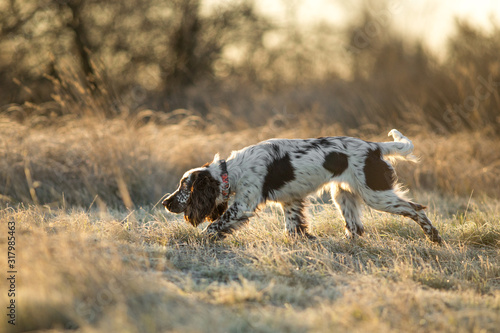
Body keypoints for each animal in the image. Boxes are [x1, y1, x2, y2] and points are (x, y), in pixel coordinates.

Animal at [163, 128, 442, 243]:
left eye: (184, 188)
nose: (165, 202)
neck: (231, 171)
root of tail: (375, 147)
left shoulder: (243, 205)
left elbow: (213, 226)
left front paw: (199, 240)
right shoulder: (291, 201)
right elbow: (294, 227)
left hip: (376, 194)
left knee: (415, 208)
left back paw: (434, 237)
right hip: (342, 195)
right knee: (354, 228)